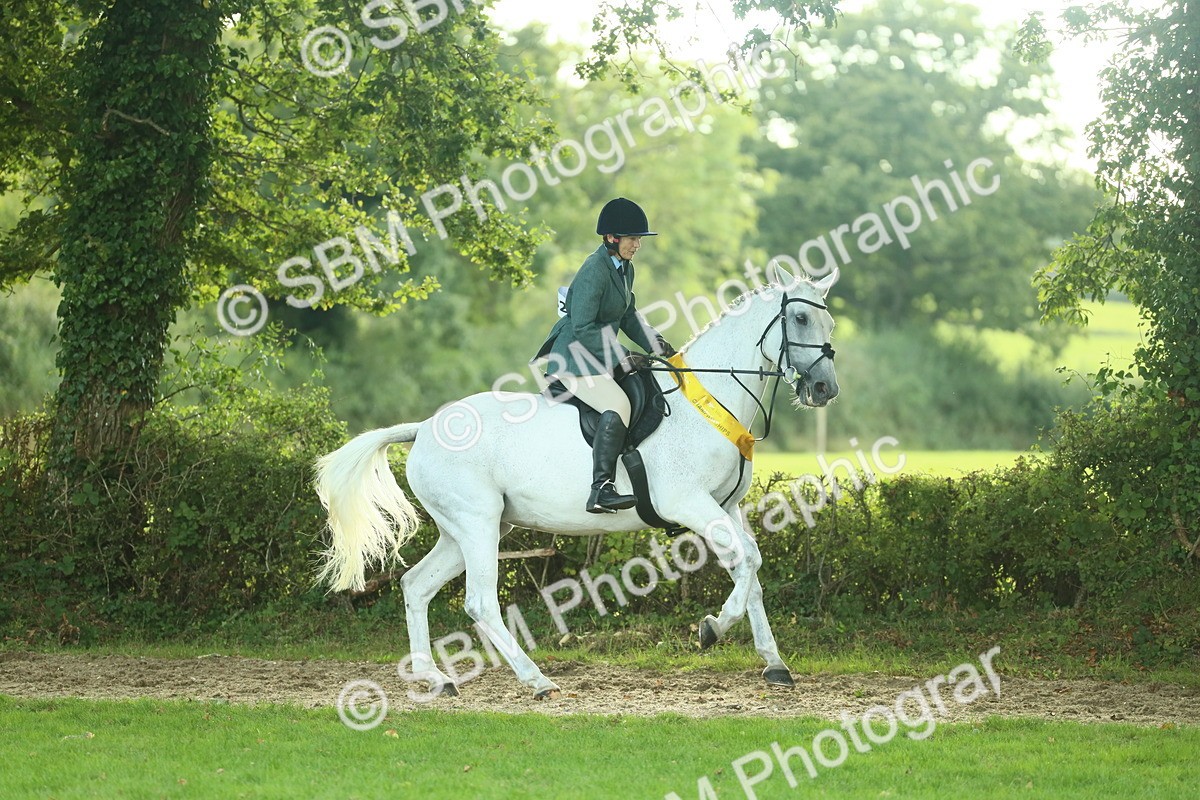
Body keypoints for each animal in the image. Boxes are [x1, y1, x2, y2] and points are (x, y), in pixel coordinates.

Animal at [314, 261, 839, 699]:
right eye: (800, 320)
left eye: (829, 323)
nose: (824, 389)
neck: (711, 399)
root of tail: (424, 427)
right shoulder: (689, 503)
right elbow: (748, 562)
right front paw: (711, 629)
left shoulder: (725, 507)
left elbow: (750, 569)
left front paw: (774, 663)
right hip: (478, 524)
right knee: (480, 602)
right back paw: (537, 681)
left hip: (466, 529)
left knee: (416, 586)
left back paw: (435, 678)